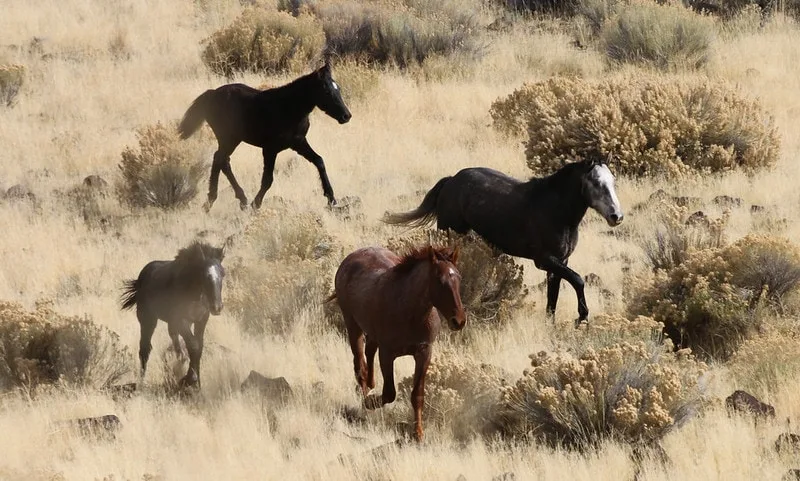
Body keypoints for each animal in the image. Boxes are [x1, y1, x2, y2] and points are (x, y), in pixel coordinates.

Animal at [120, 240, 225, 386]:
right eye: (204, 275)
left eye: (223, 274)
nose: (217, 307)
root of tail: (141, 278)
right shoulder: (181, 320)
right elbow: (193, 345)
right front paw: (190, 379)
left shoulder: (201, 320)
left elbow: (198, 347)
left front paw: (197, 383)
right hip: (147, 319)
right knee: (145, 348)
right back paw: (141, 381)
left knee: (175, 344)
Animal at [178, 61, 354, 210]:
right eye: (327, 91)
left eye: (338, 88)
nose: (346, 116)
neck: (289, 108)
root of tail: (212, 93)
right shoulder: (270, 149)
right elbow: (268, 179)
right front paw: (256, 204)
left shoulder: (298, 143)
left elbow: (319, 161)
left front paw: (331, 198)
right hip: (229, 139)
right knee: (220, 160)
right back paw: (223, 200)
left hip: (231, 140)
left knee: (221, 161)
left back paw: (230, 200)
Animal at [326, 246, 466, 440]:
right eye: (439, 280)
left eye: (458, 278)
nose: (458, 321)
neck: (410, 312)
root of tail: (351, 257)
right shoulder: (387, 354)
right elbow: (389, 393)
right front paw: (369, 402)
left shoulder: (424, 353)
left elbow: (417, 395)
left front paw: (418, 433)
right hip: (352, 325)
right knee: (360, 365)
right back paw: (365, 395)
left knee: (369, 352)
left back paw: (371, 385)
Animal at [382, 158, 624, 326]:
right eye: (596, 182)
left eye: (613, 181)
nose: (617, 216)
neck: (556, 212)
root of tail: (451, 181)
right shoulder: (544, 260)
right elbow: (578, 280)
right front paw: (582, 318)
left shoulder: (559, 262)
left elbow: (553, 295)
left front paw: (551, 323)